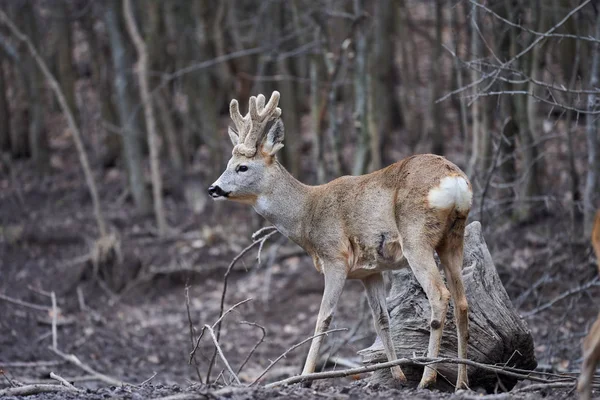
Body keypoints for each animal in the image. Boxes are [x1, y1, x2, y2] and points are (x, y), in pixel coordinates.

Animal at [210, 92, 474, 390]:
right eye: (228, 165)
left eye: (242, 167)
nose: (213, 188)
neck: (307, 215)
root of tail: (455, 181)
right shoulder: (369, 271)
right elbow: (381, 319)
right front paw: (397, 376)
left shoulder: (335, 257)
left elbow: (323, 317)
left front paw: (305, 377)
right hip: (453, 239)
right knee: (462, 303)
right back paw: (462, 382)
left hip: (416, 236)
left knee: (440, 295)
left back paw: (428, 378)